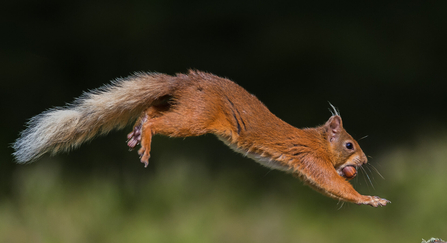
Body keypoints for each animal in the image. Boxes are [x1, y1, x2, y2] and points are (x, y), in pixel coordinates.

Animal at [13, 70, 392, 207]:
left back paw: (136, 132)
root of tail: (183, 81)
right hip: (195, 118)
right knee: (157, 120)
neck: (317, 140)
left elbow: (326, 187)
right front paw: (370, 199)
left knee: (150, 110)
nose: (364, 161)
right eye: (350, 144)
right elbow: (333, 184)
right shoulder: (310, 159)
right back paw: (144, 141)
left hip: (182, 108)